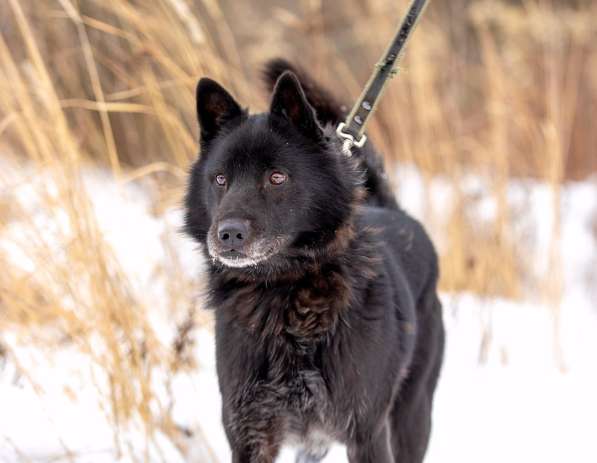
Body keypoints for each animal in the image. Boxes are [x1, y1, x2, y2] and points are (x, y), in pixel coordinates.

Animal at [185, 59, 442, 462]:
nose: (227, 234)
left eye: (276, 177)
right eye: (220, 179)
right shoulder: (249, 434)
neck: (285, 297)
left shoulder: (366, 434)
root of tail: (394, 210)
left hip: (412, 417)